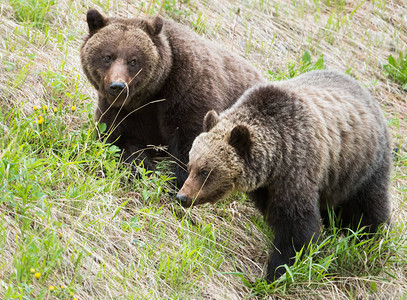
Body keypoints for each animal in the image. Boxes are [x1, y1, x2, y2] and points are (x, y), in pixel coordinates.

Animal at [80, 9, 264, 185]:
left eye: (133, 61)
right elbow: (118, 139)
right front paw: (144, 168)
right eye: (107, 57)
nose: (118, 86)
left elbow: (191, 137)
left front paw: (178, 178)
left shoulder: (187, 88)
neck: (149, 94)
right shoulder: (120, 110)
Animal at [177, 69, 394, 282]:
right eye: (190, 164)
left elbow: (295, 228)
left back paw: (373, 241)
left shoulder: (297, 168)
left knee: (368, 208)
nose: (182, 197)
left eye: (205, 171)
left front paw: (276, 273)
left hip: (360, 166)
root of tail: (369, 96)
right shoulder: (266, 188)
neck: (276, 161)